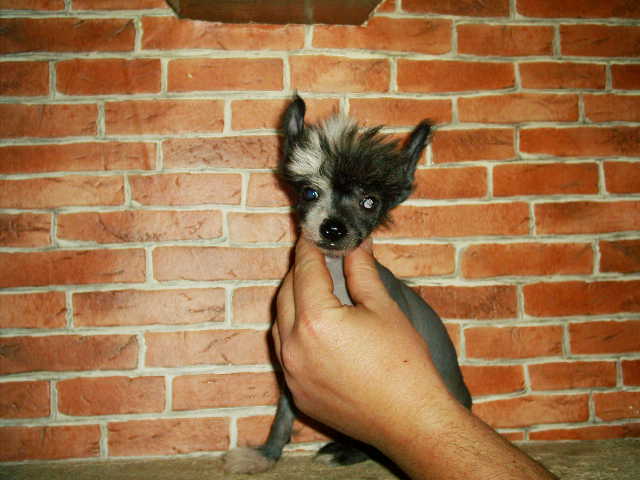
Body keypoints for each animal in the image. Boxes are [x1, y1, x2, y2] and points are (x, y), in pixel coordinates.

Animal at [224, 96, 470, 472]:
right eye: (310, 192)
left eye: (370, 201)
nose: (333, 228)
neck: (335, 274)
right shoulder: (289, 373)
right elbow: (282, 416)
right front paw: (267, 455)